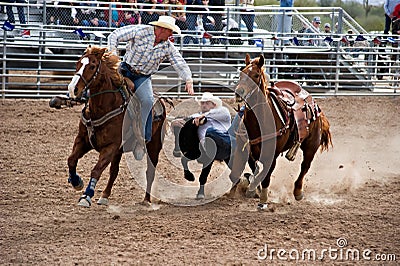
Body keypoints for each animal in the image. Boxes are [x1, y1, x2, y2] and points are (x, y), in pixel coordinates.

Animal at [67, 45, 166, 207]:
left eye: (92, 66)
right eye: (78, 63)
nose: (72, 89)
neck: (103, 108)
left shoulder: (110, 146)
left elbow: (96, 170)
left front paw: (86, 196)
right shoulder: (82, 140)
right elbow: (71, 160)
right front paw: (77, 182)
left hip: (154, 146)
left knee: (149, 172)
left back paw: (146, 200)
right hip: (119, 151)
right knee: (114, 171)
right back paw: (104, 196)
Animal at [228, 53, 332, 209]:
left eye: (256, 75)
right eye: (241, 73)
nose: (239, 92)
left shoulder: (272, 155)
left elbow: (266, 175)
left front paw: (263, 200)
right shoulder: (249, 151)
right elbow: (254, 170)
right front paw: (252, 189)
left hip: (311, 145)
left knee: (305, 166)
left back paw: (297, 191)